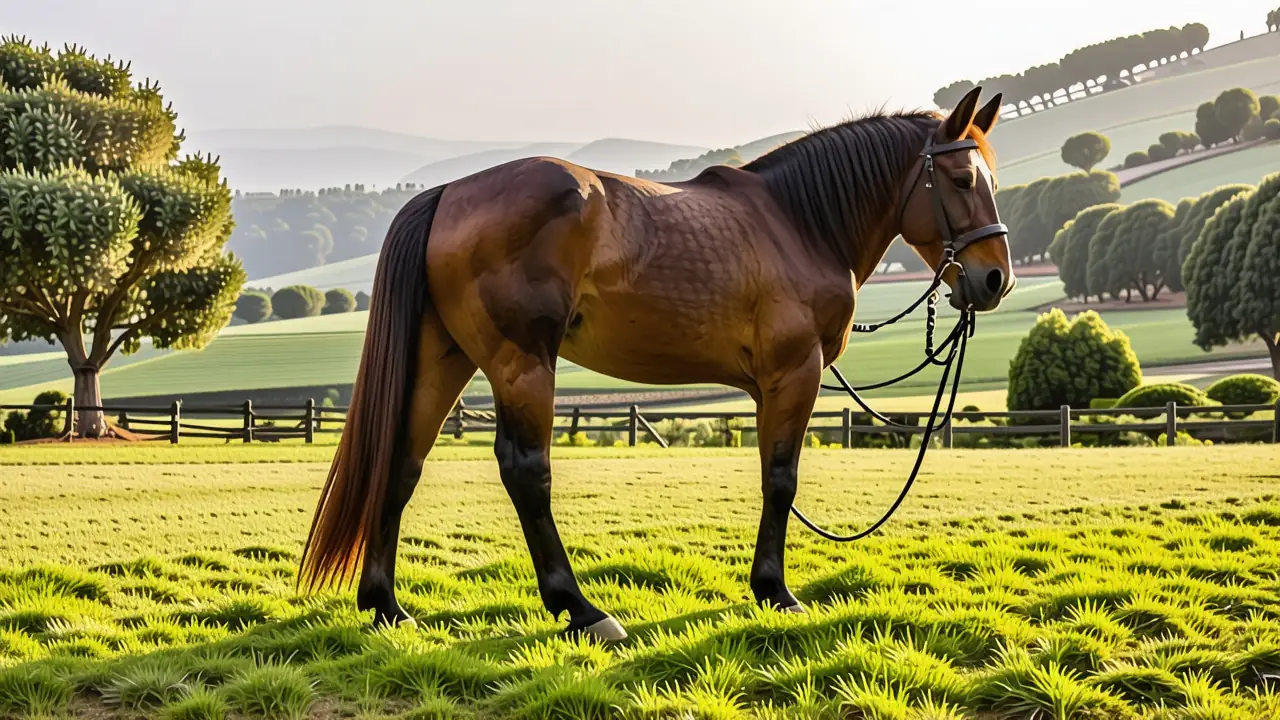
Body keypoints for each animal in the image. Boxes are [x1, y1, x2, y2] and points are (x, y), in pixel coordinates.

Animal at [298, 85, 1014, 641]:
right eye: (960, 181)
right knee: (526, 471)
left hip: (442, 361)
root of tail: (449, 194)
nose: (994, 279)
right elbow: (781, 479)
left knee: (401, 461)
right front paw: (774, 590)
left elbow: (770, 475)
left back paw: (386, 605)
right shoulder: (794, 373)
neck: (799, 222)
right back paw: (580, 609)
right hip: (522, 363)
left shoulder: (768, 388)